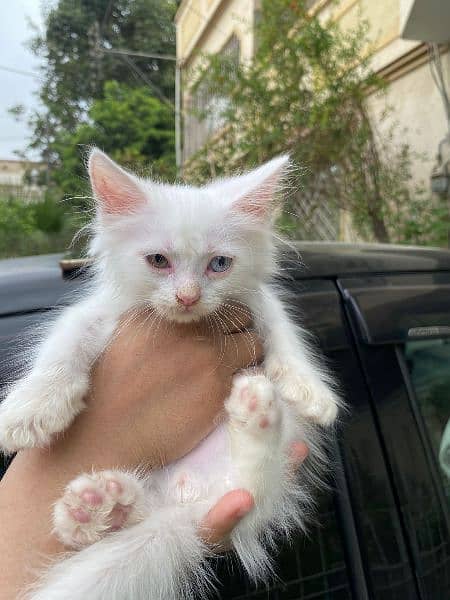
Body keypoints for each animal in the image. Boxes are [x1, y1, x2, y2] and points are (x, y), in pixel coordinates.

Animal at [0, 149, 338, 596]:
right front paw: (32, 408)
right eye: (158, 261)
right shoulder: (98, 314)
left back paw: (255, 411)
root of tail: (189, 500)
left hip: (265, 472)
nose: (188, 297)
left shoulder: (256, 302)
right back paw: (99, 509)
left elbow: (283, 330)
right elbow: (63, 345)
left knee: (253, 482)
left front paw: (310, 388)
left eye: (219, 264)